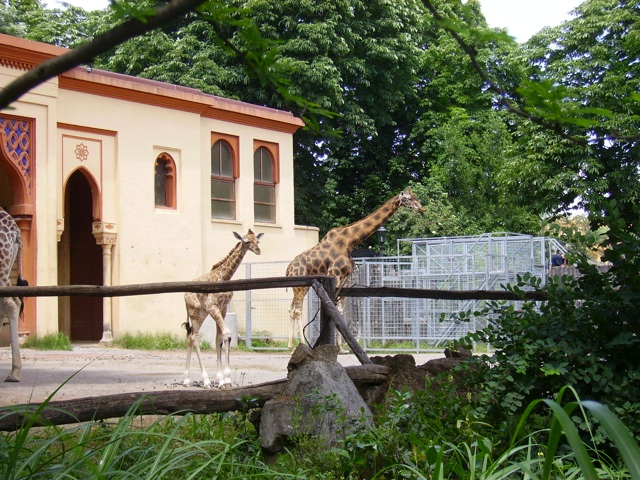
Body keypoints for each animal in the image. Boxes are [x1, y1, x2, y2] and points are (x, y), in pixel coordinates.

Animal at [181, 227, 264, 388]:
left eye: (257, 240)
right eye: (246, 241)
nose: (258, 250)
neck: (225, 277)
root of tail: (184, 296)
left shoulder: (223, 309)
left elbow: (219, 338)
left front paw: (222, 380)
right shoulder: (213, 308)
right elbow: (227, 334)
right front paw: (226, 379)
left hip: (201, 313)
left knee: (190, 337)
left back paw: (187, 380)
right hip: (195, 312)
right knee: (194, 338)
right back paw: (205, 380)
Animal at [286, 187, 424, 348]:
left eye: (416, 196)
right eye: (408, 198)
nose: (422, 209)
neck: (349, 242)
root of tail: (288, 269)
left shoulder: (346, 277)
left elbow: (341, 310)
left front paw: (341, 347)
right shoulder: (335, 274)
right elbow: (335, 308)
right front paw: (338, 346)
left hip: (303, 286)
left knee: (291, 309)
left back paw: (291, 346)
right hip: (300, 286)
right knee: (297, 310)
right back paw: (301, 345)